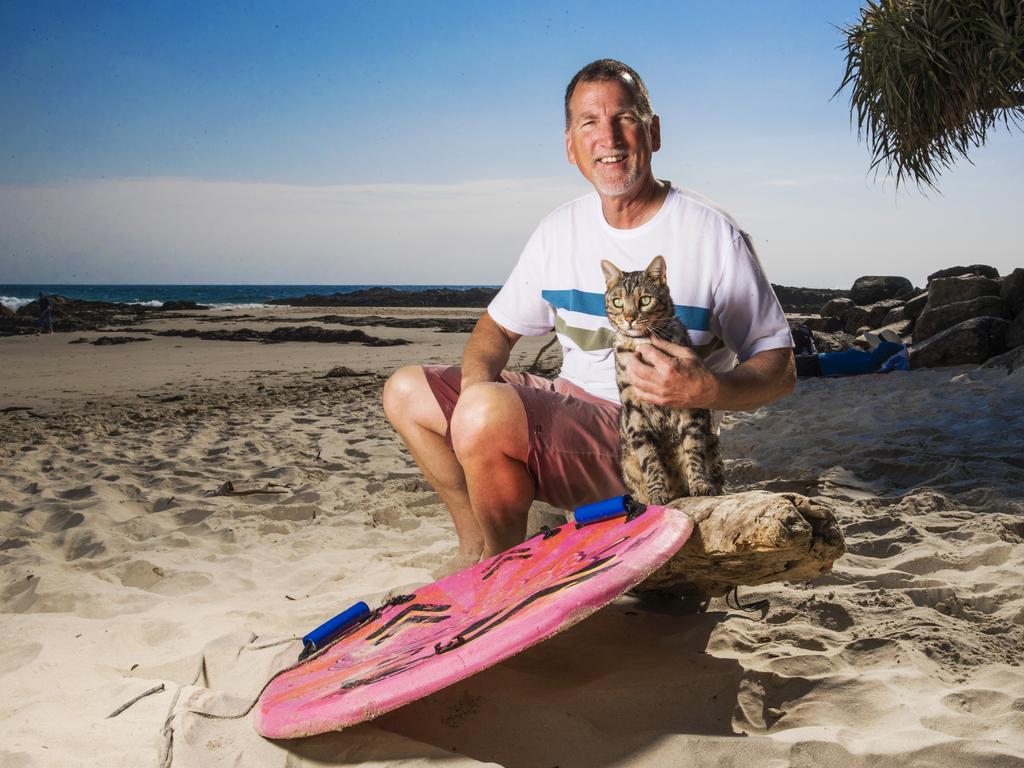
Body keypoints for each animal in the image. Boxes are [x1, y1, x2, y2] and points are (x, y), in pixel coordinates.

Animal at [602, 256, 724, 505]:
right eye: (618, 302)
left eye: (645, 300)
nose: (629, 318)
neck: (643, 346)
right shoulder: (634, 412)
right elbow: (649, 458)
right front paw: (656, 493)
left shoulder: (690, 405)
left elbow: (693, 450)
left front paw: (700, 484)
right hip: (627, 465)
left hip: (713, 443)